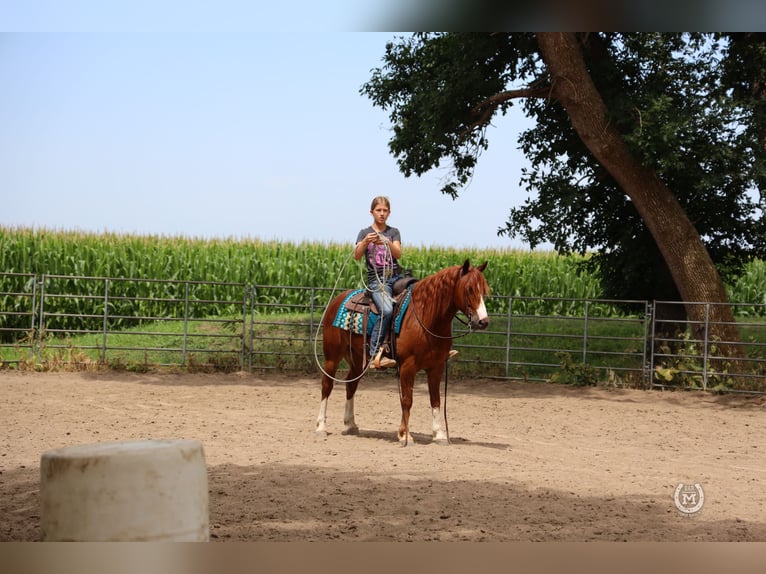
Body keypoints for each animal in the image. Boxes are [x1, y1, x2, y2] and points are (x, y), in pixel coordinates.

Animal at [316, 260, 492, 446]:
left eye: (483, 289)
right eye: (469, 289)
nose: (483, 321)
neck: (426, 316)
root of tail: (337, 300)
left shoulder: (436, 367)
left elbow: (435, 399)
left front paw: (439, 434)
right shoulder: (408, 366)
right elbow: (407, 400)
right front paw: (405, 435)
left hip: (358, 360)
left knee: (351, 384)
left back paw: (350, 424)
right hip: (332, 356)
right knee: (327, 385)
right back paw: (321, 427)